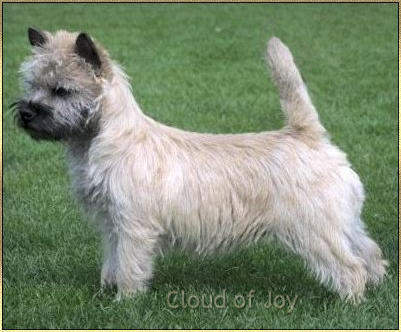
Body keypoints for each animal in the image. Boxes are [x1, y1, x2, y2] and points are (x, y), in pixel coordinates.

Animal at [13, 29, 388, 304]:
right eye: (32, 85)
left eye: (62, 90)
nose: (27, 113)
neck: (101, 140)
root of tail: (307, 134)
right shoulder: (110, 224)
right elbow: (112, 259)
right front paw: (108, 288)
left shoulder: (134, 225)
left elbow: (131, 264)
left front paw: (125, 302)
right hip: (342, 221)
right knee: (369, 251)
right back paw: (377, 286)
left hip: (314, 229)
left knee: (350, 266)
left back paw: (350, 303)